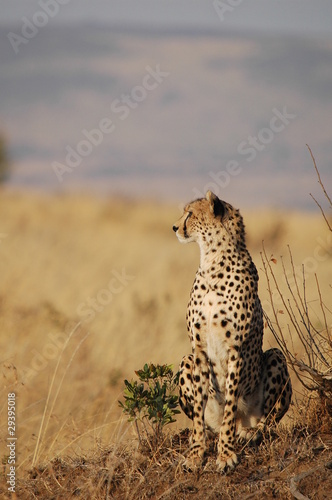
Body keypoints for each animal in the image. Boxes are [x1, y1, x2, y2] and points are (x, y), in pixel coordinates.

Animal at [172, 190, 292, 472]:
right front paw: (197, 452)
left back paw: (250, 432)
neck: (212, 262)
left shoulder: (235, 349)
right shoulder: (198, 350)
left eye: (190, 214)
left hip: (275, 357)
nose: (174, 227)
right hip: (185, 360)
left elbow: (229, 406)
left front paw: (225, 454)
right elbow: (198, 412)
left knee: (268, 420)